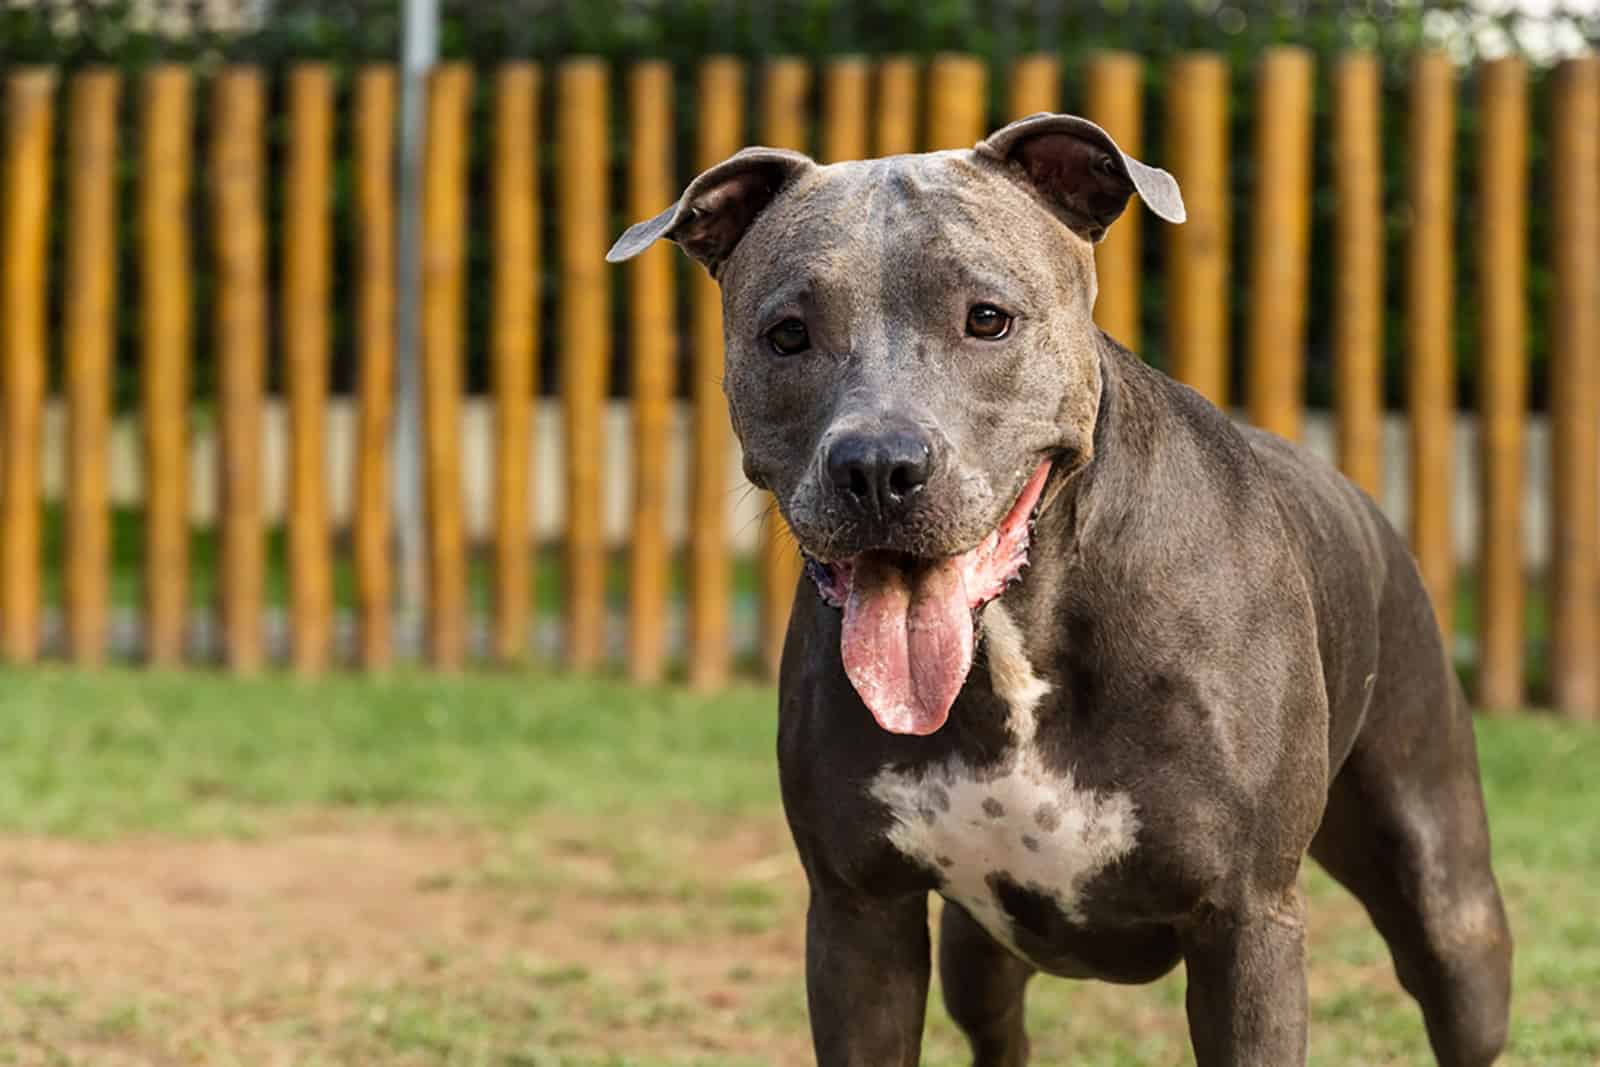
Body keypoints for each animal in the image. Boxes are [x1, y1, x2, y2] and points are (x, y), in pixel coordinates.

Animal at [601, 112, 1510, 1062]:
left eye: (988, 319)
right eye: (786, 334)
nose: (879, 466)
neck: (1014, 639)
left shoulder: (1247, 922)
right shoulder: (860, 916)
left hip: (1451, 906)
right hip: (979, 955)